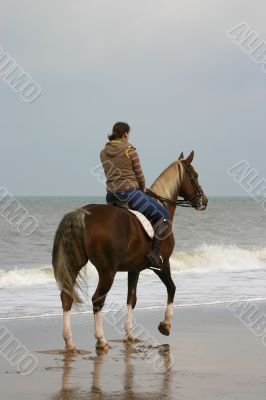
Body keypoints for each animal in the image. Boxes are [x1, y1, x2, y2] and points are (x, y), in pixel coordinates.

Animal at [51, 152, 208, 352]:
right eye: (195, 175)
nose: (204, 201)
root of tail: (85, 213)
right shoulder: (163, 264)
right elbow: (172, 288)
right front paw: (165, 325)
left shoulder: (134, 269)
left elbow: (131, 299)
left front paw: (129, 334)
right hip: (107, 271)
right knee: (97, 300)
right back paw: (101, 340)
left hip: (76, 264)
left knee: (67, 297)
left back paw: (69, 342)